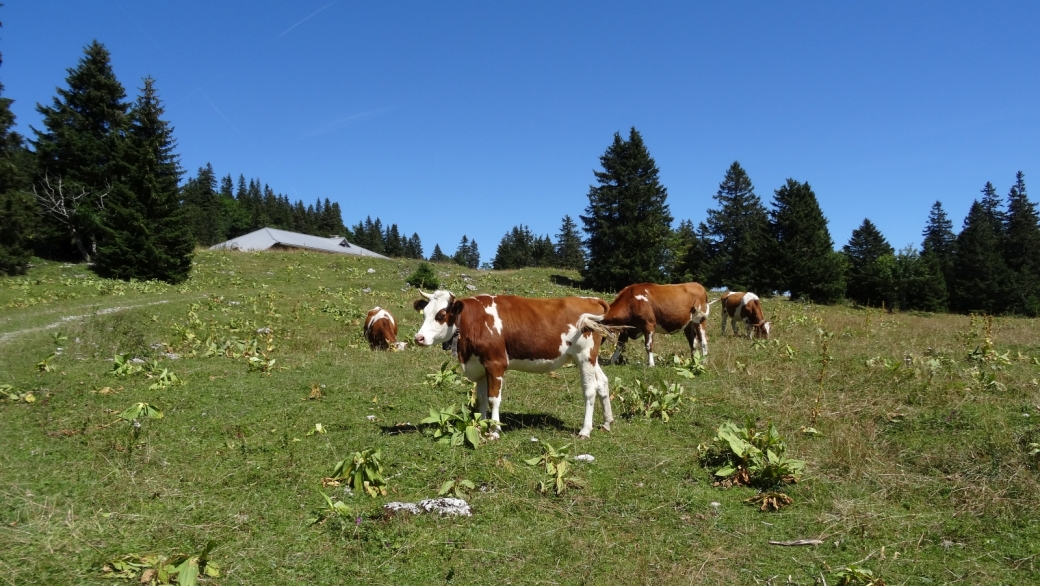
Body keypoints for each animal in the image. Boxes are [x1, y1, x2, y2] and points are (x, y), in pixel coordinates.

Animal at [409, 291, 611, 437]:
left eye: (441, 315)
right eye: (424, 314)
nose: (419, 338)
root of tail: (591, 299)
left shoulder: (495, 364)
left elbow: (493, 399)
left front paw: (494, 431)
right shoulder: (479, 367)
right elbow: (481, 398)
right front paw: (481, 425)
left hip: (584, 356)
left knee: (589, 390)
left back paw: (585, 430)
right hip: (591, 358)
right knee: (602, 383)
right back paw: (607, 423)